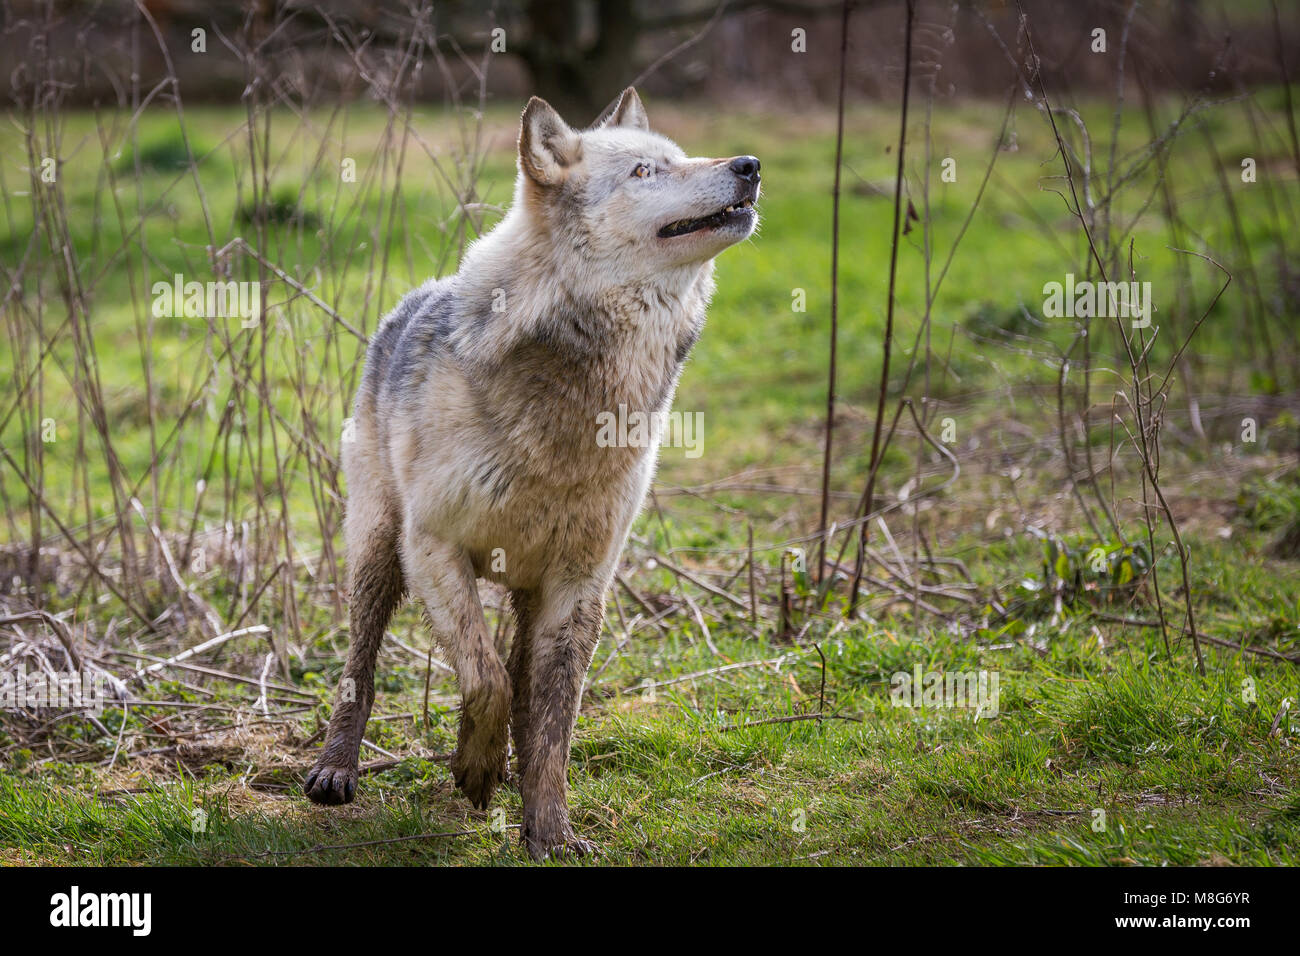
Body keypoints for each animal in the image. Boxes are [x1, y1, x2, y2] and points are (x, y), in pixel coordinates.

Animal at [305, 85, 759, 858]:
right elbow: (484, 678)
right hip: (376, 553)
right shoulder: (433, 549)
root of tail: (412, 299)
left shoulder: (579, 585)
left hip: (520, 590)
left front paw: (549, 831)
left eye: (678, 158)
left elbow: (551, 726)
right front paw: (476, 769)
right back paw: (337, 771)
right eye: (644, 171)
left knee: (521, 687)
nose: (749, 165)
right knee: (359, 669)